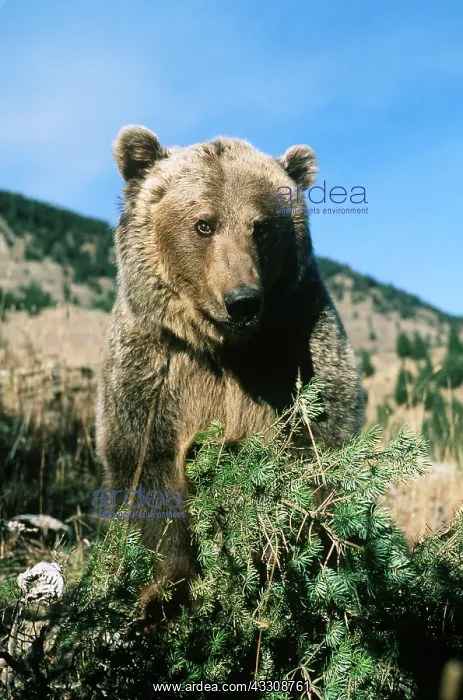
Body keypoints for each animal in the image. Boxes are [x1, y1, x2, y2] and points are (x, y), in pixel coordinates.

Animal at [95, 125, 365, 600]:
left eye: (261, 228)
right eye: (204, 224)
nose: (242, 300)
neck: (223, 347)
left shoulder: (296, 349)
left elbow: (319, 448)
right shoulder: (155, 368)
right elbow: (148, 468)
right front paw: (164, 589)